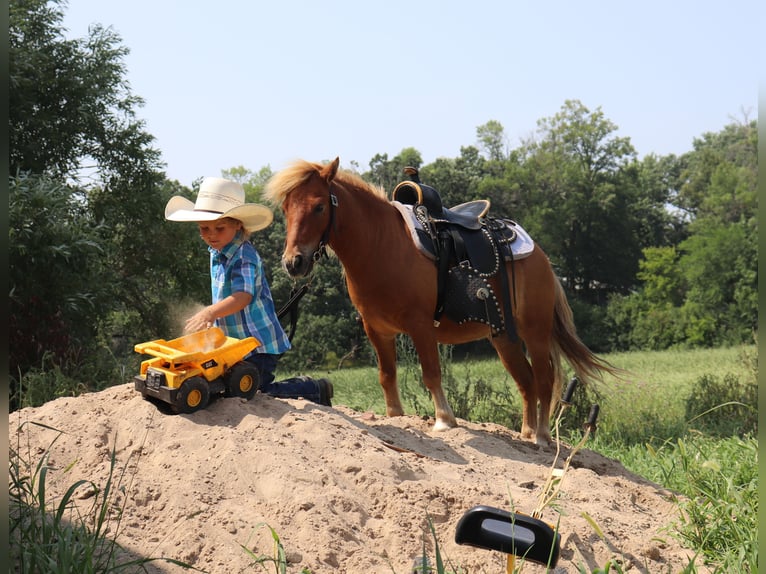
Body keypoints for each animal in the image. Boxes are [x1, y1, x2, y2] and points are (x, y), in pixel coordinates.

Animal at [264, 159, 616, 450]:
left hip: (535, 331)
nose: (293, 263)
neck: (382, 246)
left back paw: (541, 436)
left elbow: (431, 373)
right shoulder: (376, 329)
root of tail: (541, 257)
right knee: (527, 382)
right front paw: (395, 416)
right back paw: (527, 433)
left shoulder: (420, 326)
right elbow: (386, 375)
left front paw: (444, 420)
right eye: (286, 209)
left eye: (319, 207)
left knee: (543, 380)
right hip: (504, 337)